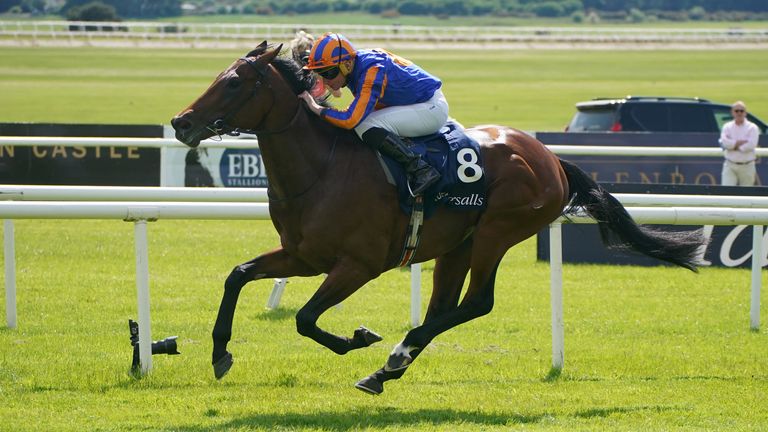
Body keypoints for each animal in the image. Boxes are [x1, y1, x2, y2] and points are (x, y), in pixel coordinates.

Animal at [171, 43, 704, 394]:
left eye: (234, 82)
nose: (181, 122)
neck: (322, 169)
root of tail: (551, 158)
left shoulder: (359, 264)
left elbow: (304, 318)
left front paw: (359, 337)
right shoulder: (303, 255)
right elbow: (238, 275)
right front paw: (219, 353)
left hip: (497, 231)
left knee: (478, 302)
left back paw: (393, 356)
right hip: (457, 244)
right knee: (443, 306)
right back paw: (388, 367)